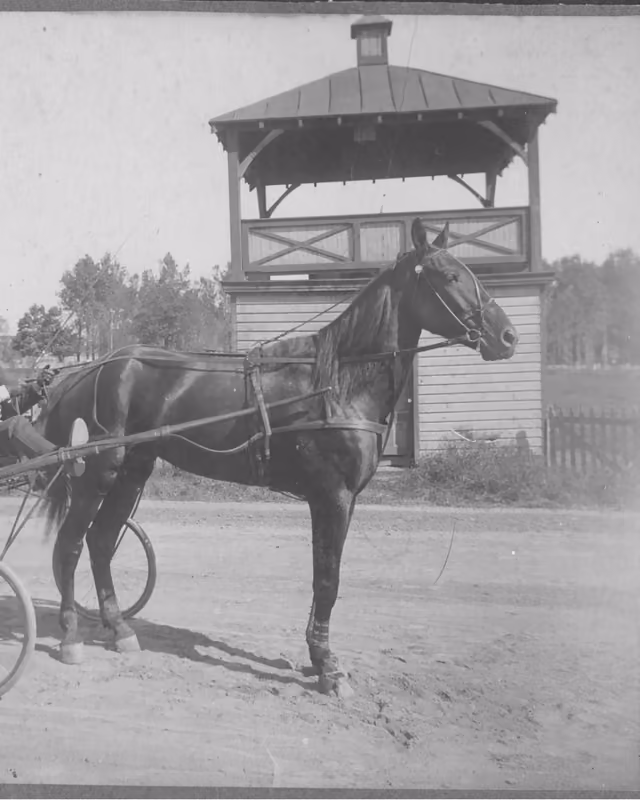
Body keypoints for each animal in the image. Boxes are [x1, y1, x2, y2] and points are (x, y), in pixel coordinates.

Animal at [37, 218, 518, 698]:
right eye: (451, 276)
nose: (508, 336)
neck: (337, 382)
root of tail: (91, 370)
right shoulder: (332, 496)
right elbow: (328, 580)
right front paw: (328, 667)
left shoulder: (342, 500)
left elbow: (324, 578)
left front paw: (317, 657)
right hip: (99, 472)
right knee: (71, 544)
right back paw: (70, 636)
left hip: (132, 472)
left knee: (101, 541)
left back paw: (120, 629)